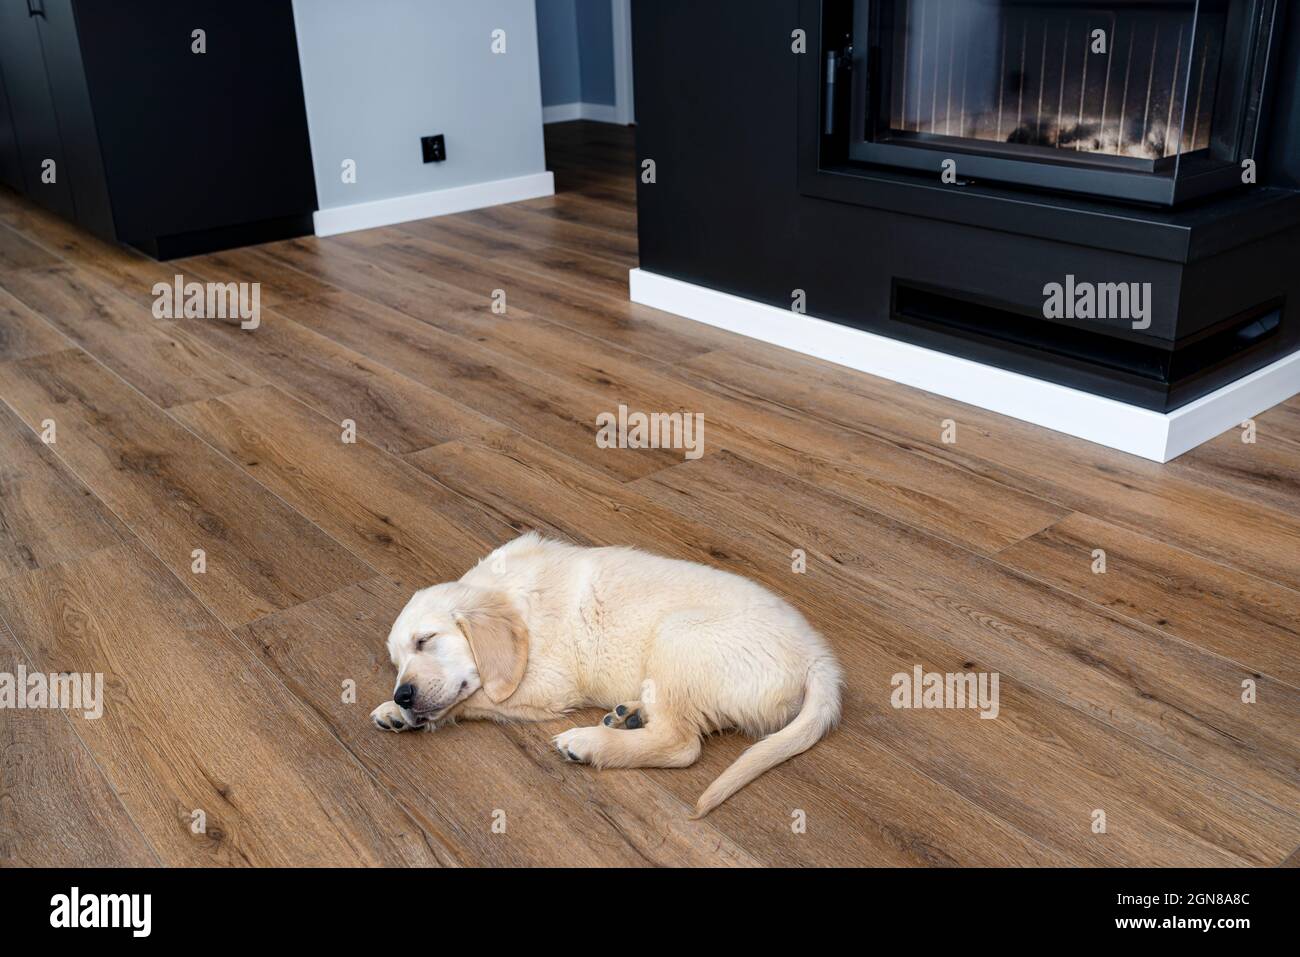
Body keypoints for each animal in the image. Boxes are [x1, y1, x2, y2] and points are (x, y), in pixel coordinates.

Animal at [371, 530, 847, 816]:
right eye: (396, 662)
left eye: (426, 640)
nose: (403, 695)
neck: (513, 597)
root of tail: (818, 658)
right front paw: (396, 713)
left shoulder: (545, 685)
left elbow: (475, 696)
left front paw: (408, 712)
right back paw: (628, 715)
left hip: (679, 635)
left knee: (682, 744)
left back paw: (591, 742)